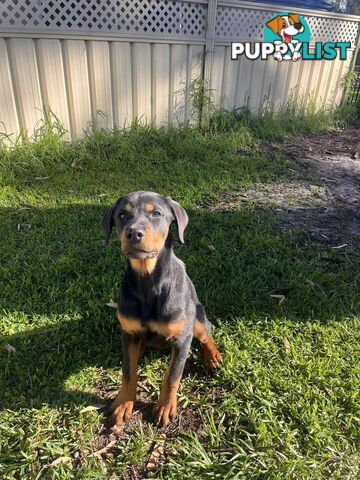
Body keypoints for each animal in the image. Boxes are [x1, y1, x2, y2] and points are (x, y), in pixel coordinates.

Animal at [102, 191, 224, 428]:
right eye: (122, 215)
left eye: (156, 213)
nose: (134, 233)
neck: (148, 283)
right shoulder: (128, 333)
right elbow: (128, 372)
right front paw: (123, 404)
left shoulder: (182, 339)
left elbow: (173, 376)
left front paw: (165, 407)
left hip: (197, 317)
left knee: (206, 335)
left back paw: (213, 357)